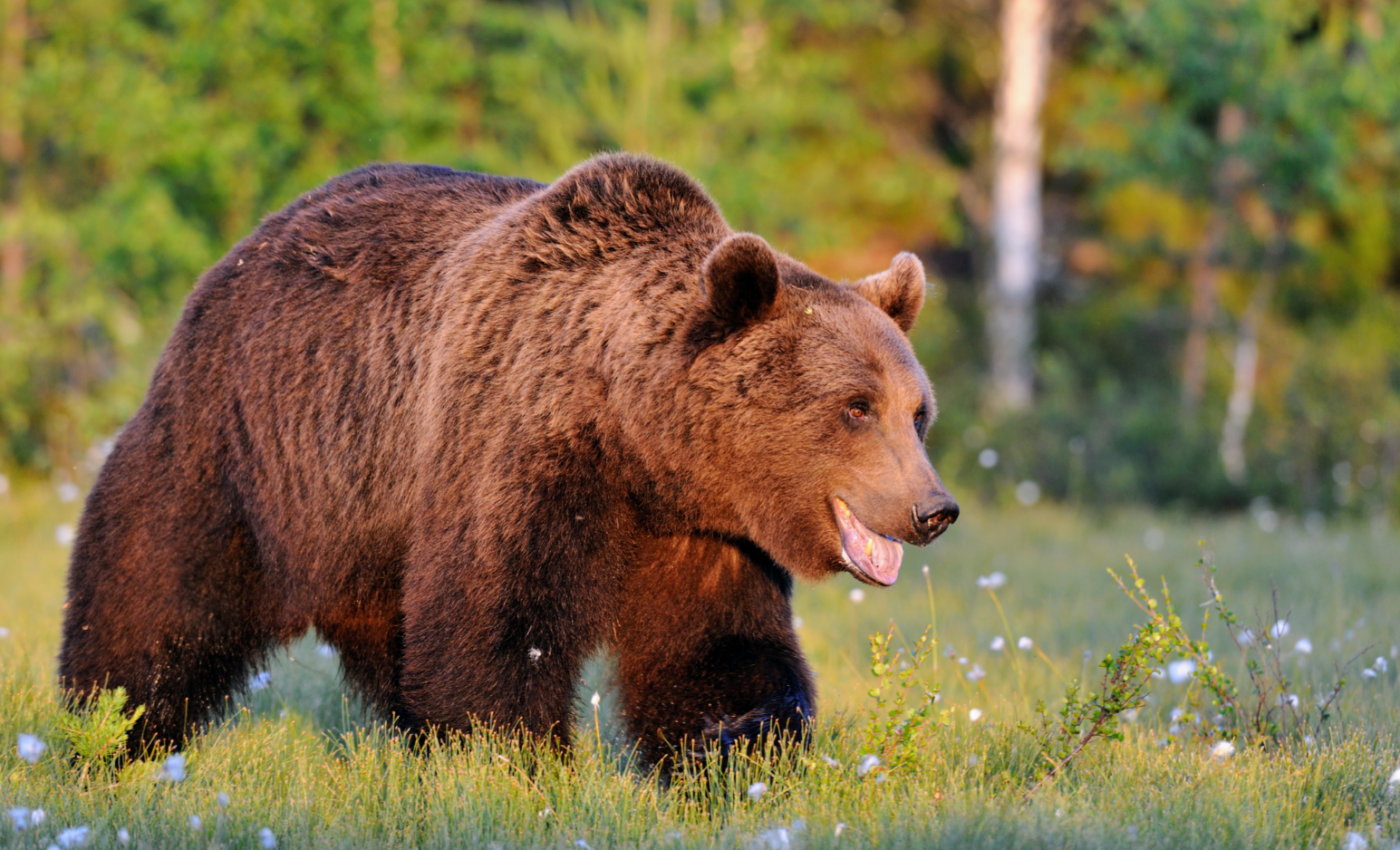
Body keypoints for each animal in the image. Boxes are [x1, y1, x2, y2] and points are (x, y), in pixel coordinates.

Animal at [58, 154, 959, 764]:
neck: (637, 440)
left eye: (918, 412)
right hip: (245, 447)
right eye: (854, 407)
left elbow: (720, 652)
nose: (933, 509)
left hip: (368, 522)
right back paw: (106, 730)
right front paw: (514, 759)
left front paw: (736, 747)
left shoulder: (704, 530)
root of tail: (244, 248)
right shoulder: (519, 447)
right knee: (155, 592)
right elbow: (495, 625)